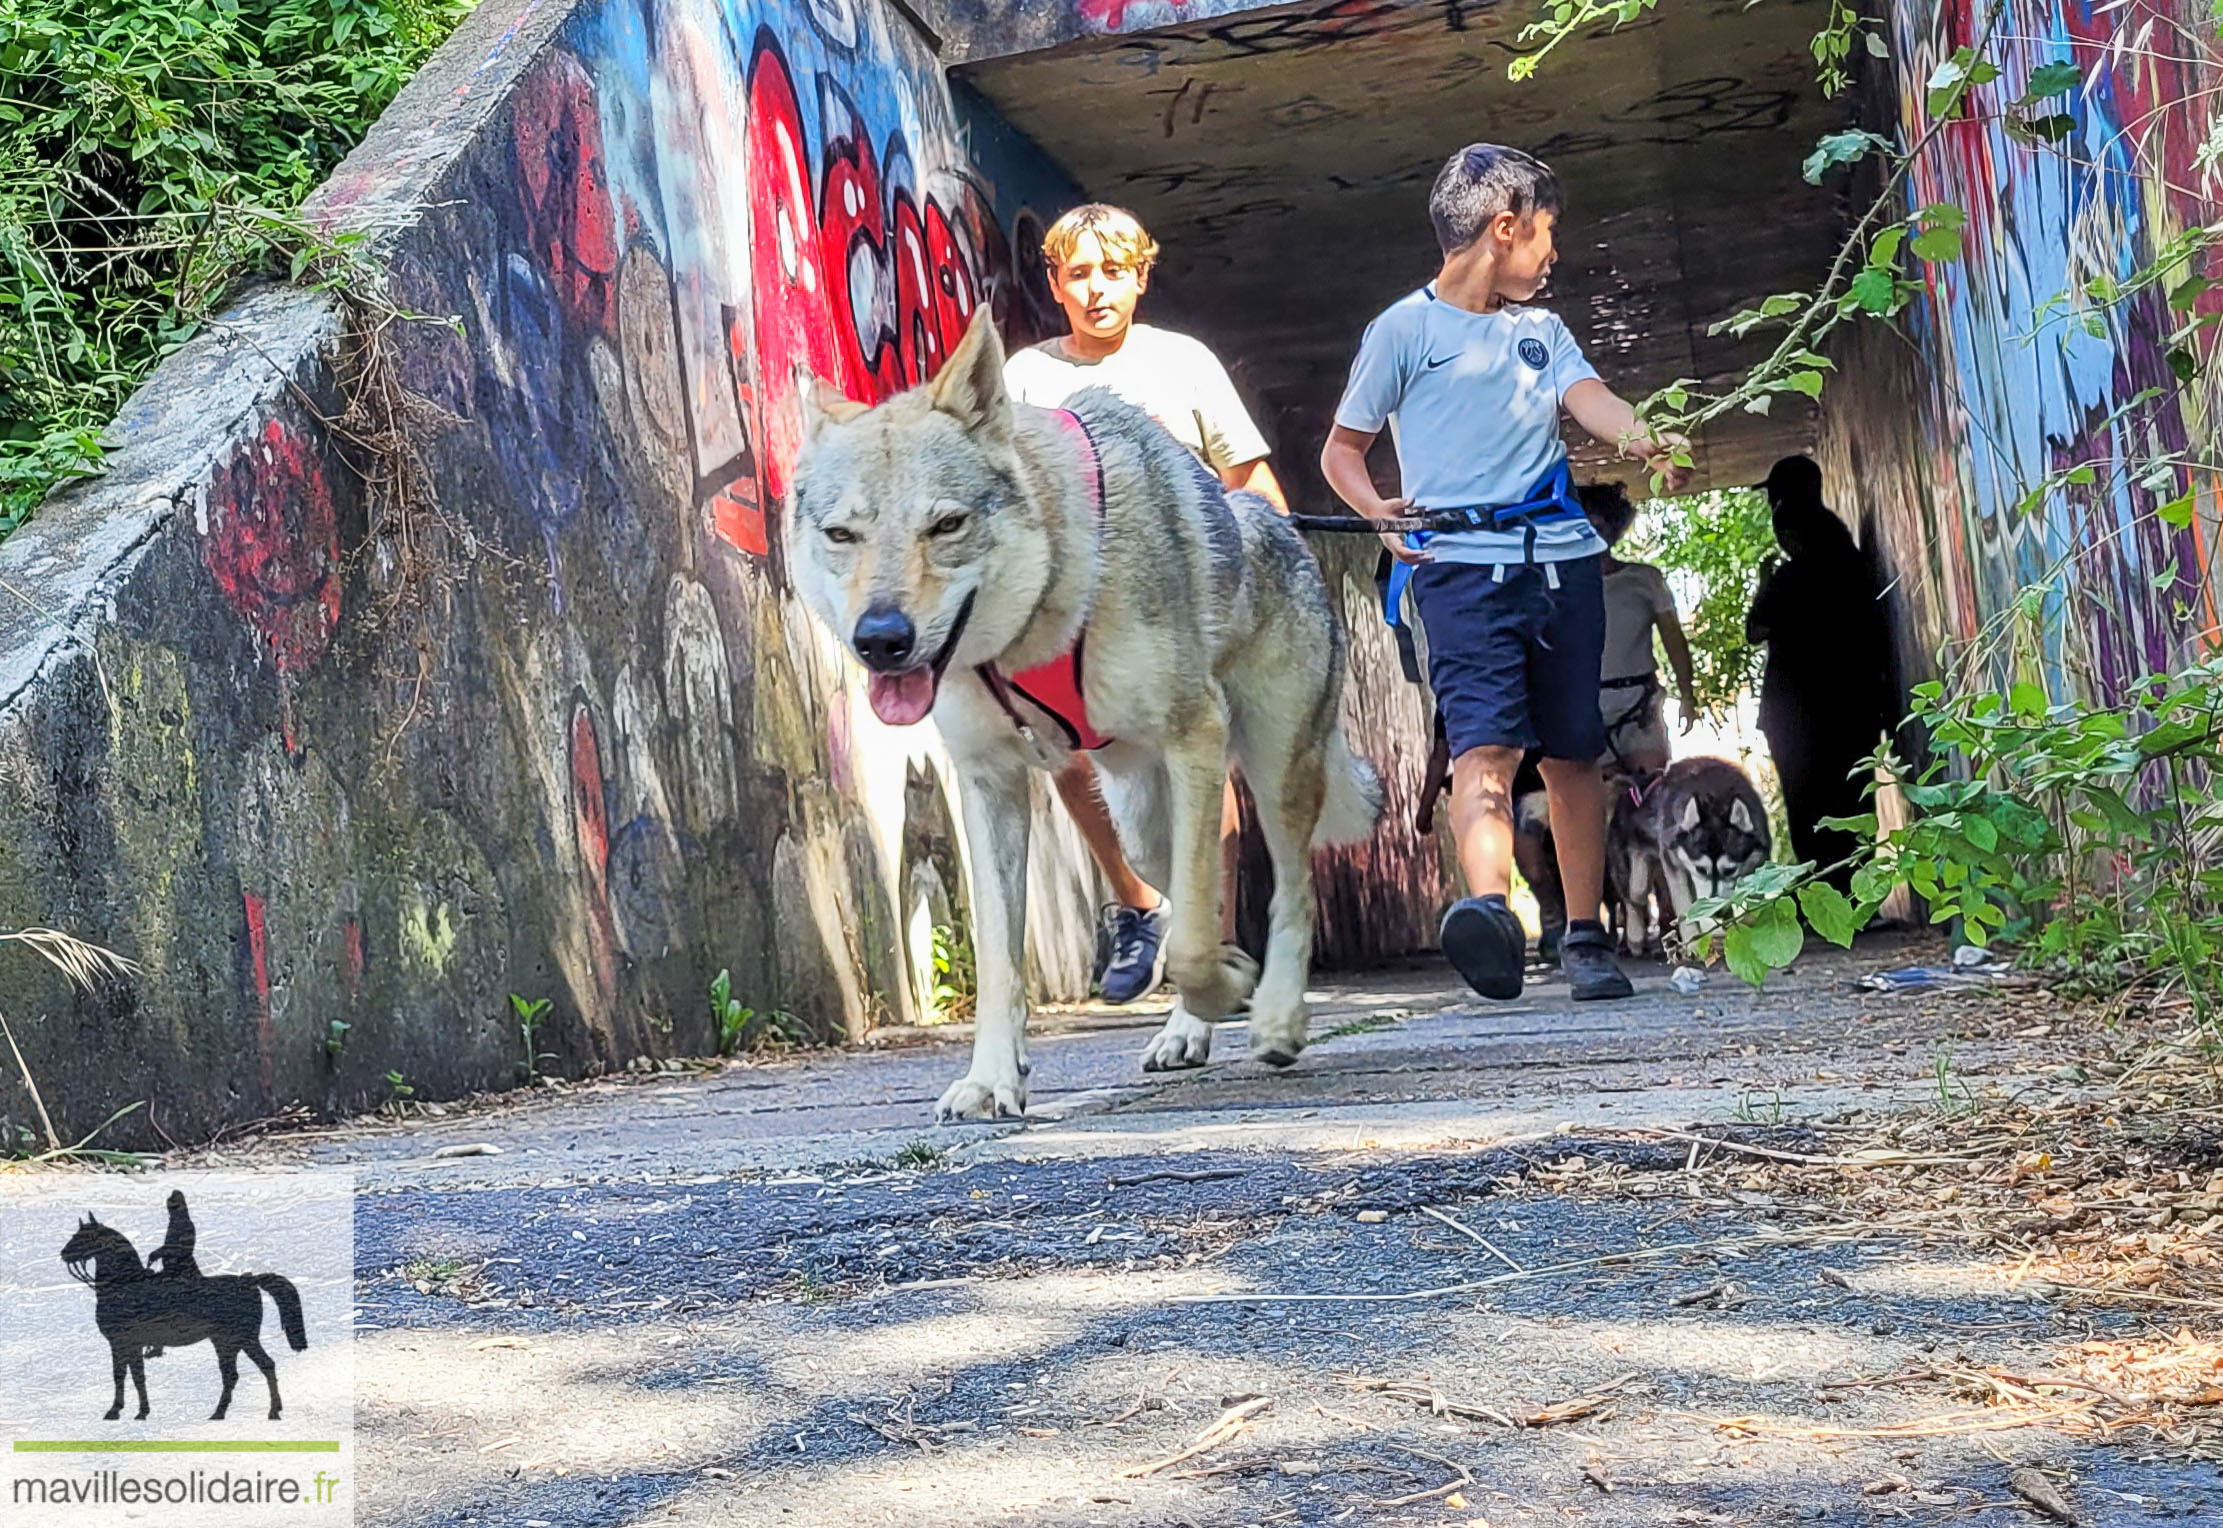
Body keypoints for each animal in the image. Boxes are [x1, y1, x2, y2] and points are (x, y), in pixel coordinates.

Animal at [782, 313, 1369, 1125]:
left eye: (946, 525)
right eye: (843, 536)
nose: (882, 639)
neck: (1043, 613)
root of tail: (1281, 524)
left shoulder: (1194, 737)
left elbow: (1192, 945)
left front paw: (1231, 987)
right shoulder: (991, 783)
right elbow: (1004, 963)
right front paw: (991, 1081)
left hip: (1271, 773)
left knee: (1288, 889)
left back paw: (1276, 1015)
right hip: (1141, 824)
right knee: (1190, 894)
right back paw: (1187, 1031)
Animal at [1618, 751, 1769, 943]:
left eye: (1729, 871)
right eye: (1700, 870)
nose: (1719, 913)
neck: (1714, 799)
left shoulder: (1759, 862)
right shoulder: (1674, 864)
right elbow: (1685, 910)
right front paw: (1692, 944)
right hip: (1637, 879)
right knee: (1635, 896)